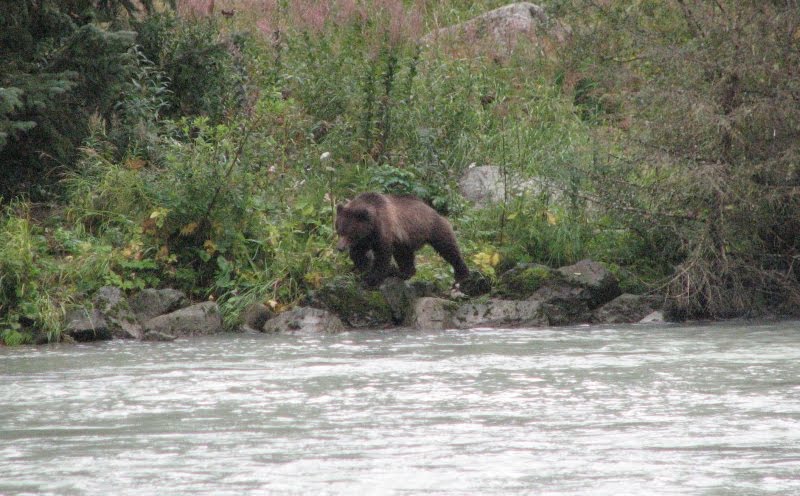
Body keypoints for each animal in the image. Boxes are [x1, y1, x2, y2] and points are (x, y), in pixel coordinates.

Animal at [332, 193, 468, 288]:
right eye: (339, 231)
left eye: (349, 234)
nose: (340, 248)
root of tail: (431, 208)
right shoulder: (365, 239)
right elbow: (357, 254)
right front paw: (364, 270)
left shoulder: (383, 231)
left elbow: (382, 255)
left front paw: (372, 278)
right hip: (405, 241)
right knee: (404, 256)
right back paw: (402, 272)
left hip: (433, 228)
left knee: (448, 248)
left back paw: (462, 274)